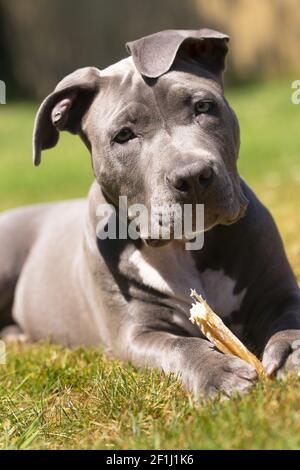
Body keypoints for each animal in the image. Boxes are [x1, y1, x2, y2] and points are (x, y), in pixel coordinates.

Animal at [0, 28, 300, 396]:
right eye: (123, 135)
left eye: (204, 106)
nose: (192, 176)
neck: (186, 245)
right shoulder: (136, 333)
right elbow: (181, 346)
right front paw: (219, 373)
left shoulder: (278, 290)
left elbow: (289, 317)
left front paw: (291, 350)